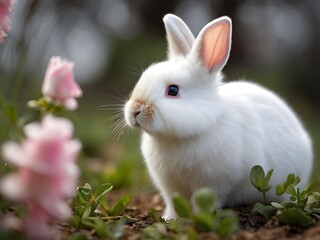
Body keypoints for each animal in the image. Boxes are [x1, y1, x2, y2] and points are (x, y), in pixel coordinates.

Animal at [123, 13, 312, 219]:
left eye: (173, 90)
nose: (135, 111)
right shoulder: (169, 184)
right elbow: (173, 201)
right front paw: (170, 218)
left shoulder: (214, 181)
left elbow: (205, 199)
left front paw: (201, 216)